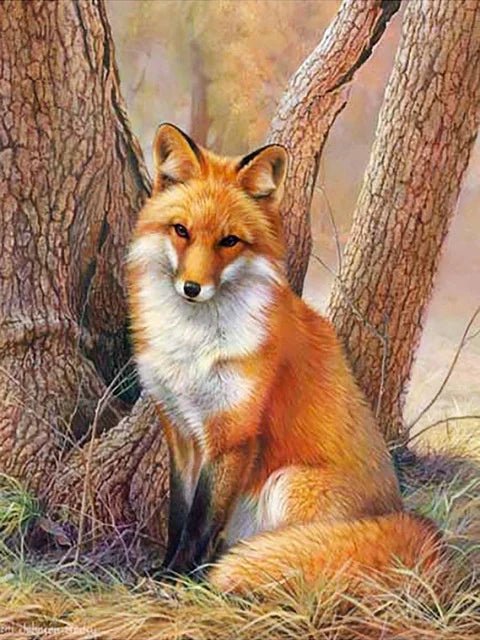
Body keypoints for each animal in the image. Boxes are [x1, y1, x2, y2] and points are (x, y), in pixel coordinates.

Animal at [127, 123, 443, 594]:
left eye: (229, 241)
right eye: (181, 230)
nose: (192, 288)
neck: (194, 345)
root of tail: (400, 514)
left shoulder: (233, 434)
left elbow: (201, 521)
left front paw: (179, 579)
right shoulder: (180, 431)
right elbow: (178, 515)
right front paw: (167, 568)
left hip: (287, 483)